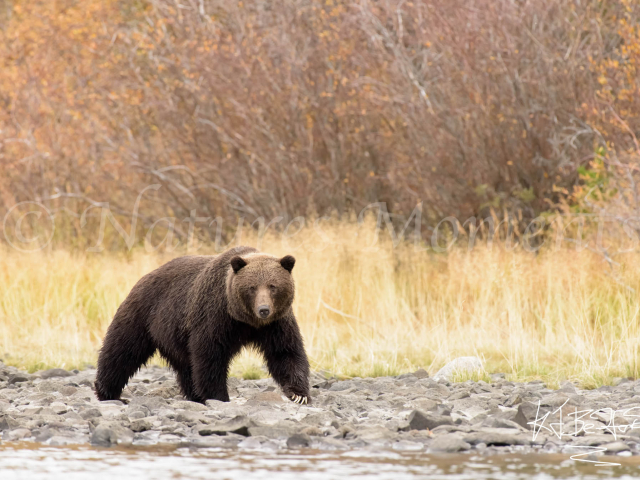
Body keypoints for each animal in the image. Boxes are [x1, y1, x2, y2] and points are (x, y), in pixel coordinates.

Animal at [94, 246, 310, 404]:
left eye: (273, 286)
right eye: (252, 287)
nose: (264, 309)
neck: (246, 320)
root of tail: (146, 275)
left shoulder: (276, 323)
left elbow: (285, 352)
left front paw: (299, 394)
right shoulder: (215, 315)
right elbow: (210, 354)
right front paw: (219, 396)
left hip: (175, 334)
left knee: (185, 366)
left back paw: (193, 395)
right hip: (144, 313)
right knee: (122, 350)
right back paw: (107, 391)